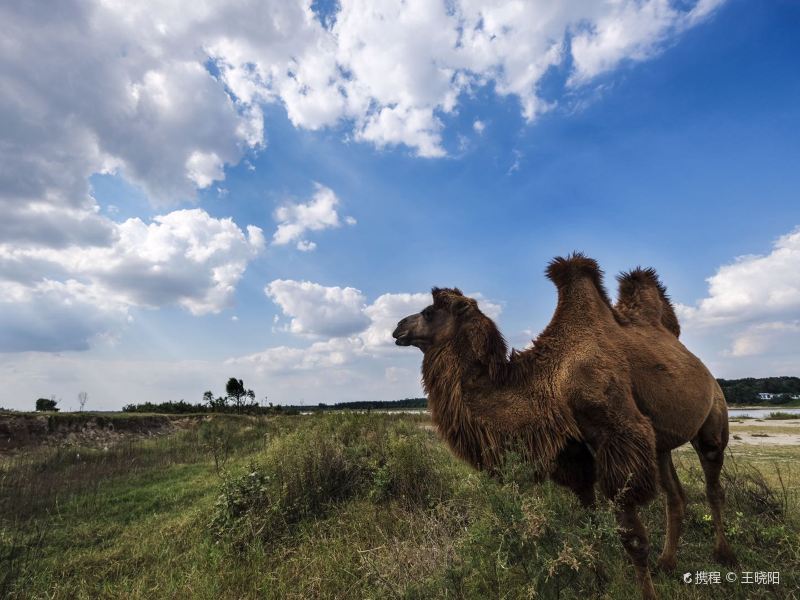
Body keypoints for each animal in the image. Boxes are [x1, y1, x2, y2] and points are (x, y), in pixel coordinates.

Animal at [390, 254, 736, 600]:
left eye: (428, 312)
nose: (397, 327)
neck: (551, 381)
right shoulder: (572, 450)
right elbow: (590, 523)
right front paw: (600, 580)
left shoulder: (620, 435)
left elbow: (632, 537)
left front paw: (646, 594)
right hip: (660, 444)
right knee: (674, 495)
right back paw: (667, 562)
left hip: (712, 417)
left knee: (713, 481)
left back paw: (723, 554)